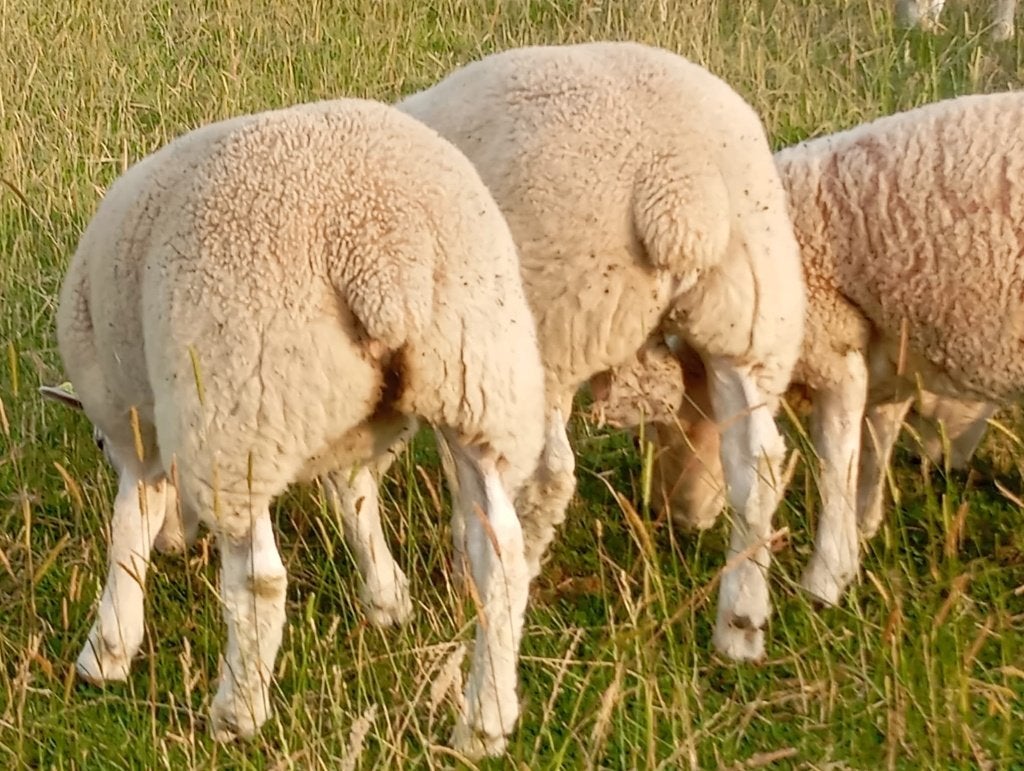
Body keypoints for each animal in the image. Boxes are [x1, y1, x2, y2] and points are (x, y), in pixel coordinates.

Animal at [40, 97, 547, 759]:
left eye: (98, 443)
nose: (177, 547)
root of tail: (385, 253)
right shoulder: (345, 432)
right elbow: (354, 501)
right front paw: (387, 599)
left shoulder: (134, 425)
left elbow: (129, 526)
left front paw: (107, 651)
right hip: (478, 380)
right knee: (502, 558)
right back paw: (484, 725)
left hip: (239, 409)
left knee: (258, 579)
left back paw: (237, 713)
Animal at [326, 41, 807, 662]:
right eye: (671, 424)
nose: (680, 516)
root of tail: (680, 189)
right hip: (746, 313)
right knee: (761, 462)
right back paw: (739, 625)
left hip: (557, 324)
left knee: (551, 478)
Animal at [599, 91, 1024, 606]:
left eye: (663, 428)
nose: (669, 518)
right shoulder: (886, 351)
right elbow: (876, 441)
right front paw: (864, 528)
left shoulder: (832, 348)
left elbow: (835, 463)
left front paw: (825, 580)